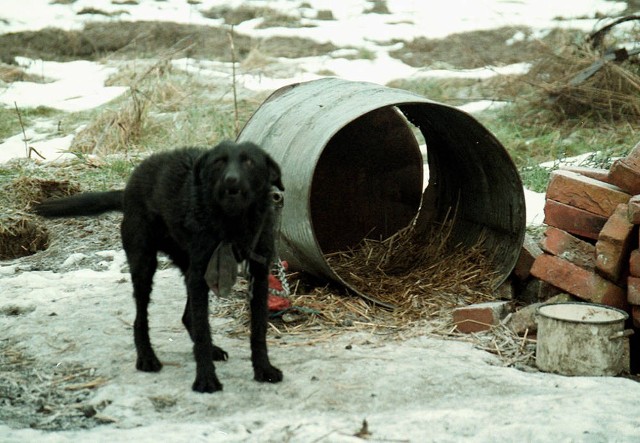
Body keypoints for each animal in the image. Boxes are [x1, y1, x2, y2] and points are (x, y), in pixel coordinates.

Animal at [34, 140, 284, 394]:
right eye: (219, 162)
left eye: (249, 161)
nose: (231, 180)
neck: (233, 223)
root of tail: (127, 189)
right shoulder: (200, 272)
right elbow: (203, 330)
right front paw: (205, 379)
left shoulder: (258, 274)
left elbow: (258, 329)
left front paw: (264, 369)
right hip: (145, 265)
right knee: (141, 319)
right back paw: (147, 358)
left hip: (187, 268)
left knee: (187, 316)